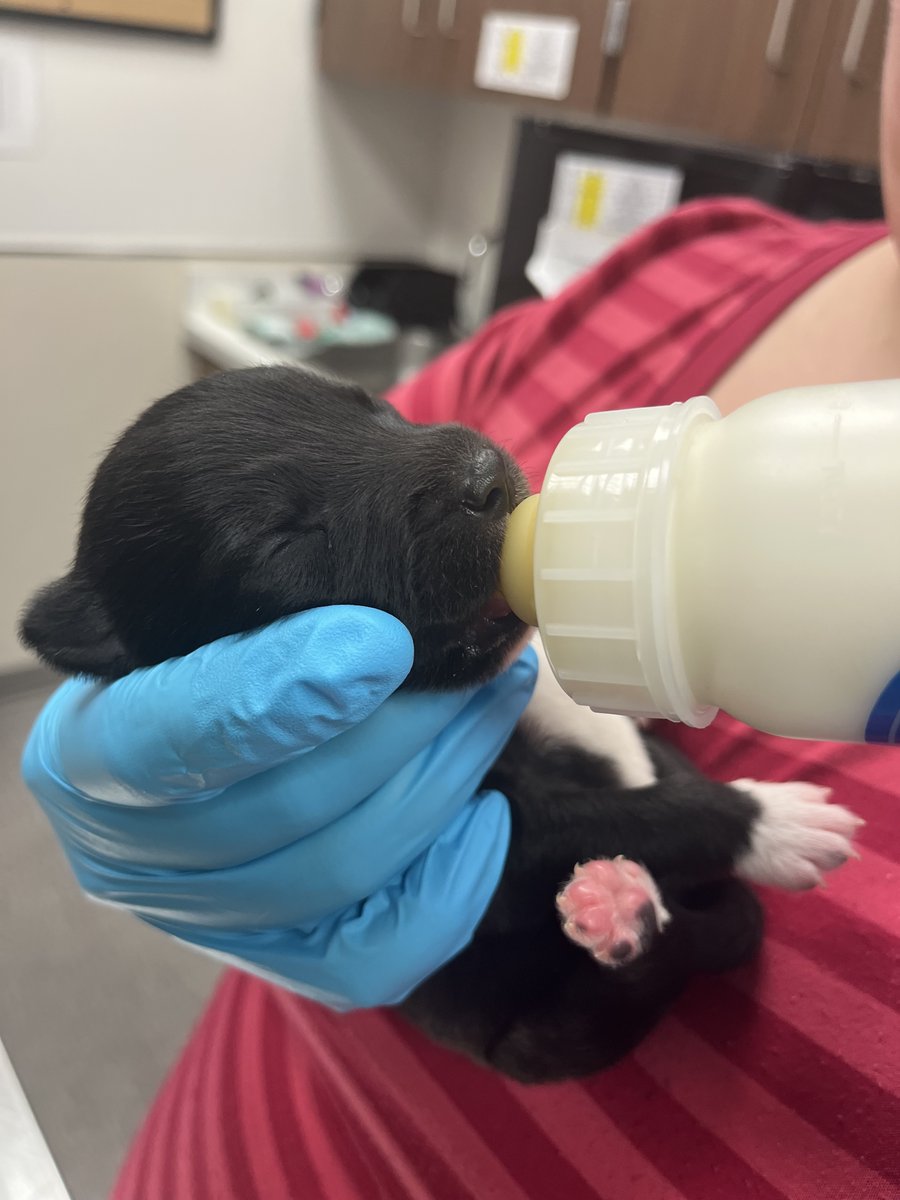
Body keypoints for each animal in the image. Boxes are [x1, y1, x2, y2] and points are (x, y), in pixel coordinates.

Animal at [21, 364, 864, 1089]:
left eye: (374, 406)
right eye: (284, 543)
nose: (484, 474)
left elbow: (654, 762)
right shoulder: (491, 842)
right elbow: (632, 814)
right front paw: (767, 820)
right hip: (529, 1033)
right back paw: (625, 913)